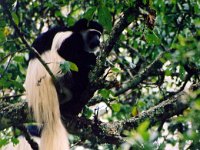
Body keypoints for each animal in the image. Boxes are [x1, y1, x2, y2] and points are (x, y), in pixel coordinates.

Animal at [24, 19, 103, 150]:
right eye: (92, 33)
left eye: (99, 34)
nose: (98, 41)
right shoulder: (71, 38)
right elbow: (64, 51)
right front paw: (92, 58)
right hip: (61, 76)